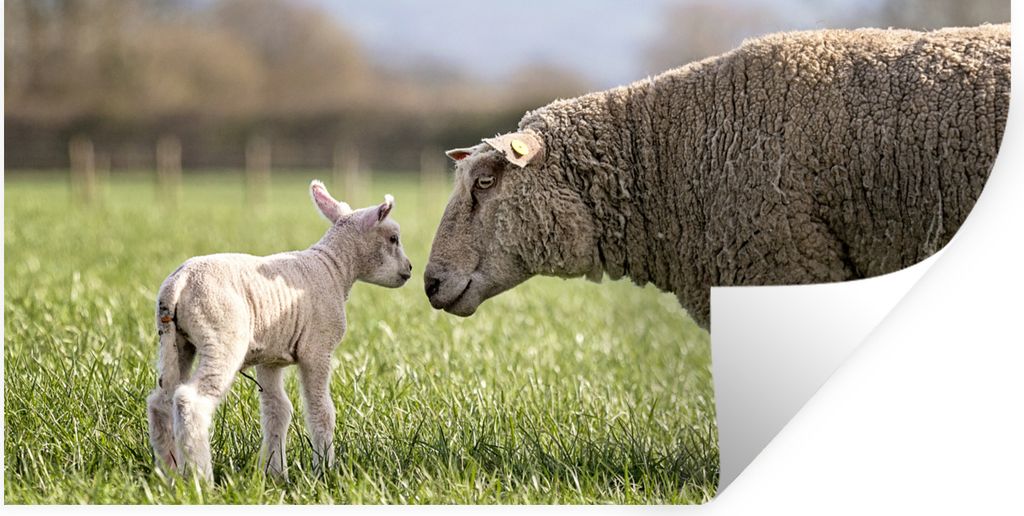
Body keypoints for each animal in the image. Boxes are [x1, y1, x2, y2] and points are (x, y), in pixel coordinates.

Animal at [146, 180, 412, 482]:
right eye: (393, 239)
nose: (409, 269)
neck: (334, 267)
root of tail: (179, 283)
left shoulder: (270, 357)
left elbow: (278, 410)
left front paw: (275, 473)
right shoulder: (317, 349)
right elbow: (321, 410)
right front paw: (324, 470)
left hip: (175, 341)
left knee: (160, 402)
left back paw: (168, 474)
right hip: (222, 336)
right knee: (190, 401)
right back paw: (201, 478)